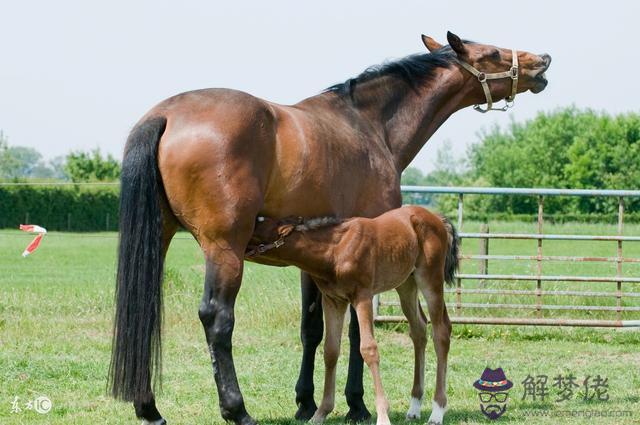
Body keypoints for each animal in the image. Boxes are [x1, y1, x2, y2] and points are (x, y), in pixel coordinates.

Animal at [249, 204, 460, 422]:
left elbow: (368, 348)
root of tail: (437, 218)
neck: (335, 250)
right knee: (418, 329)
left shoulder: (363, 297)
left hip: (430, 278)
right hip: (406, 284)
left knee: (441, 331)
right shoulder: (333, 300)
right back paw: (414, 407)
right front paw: (320, 413)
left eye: (259, 221)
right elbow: (330, 351)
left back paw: (437, 412)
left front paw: (383, 416)